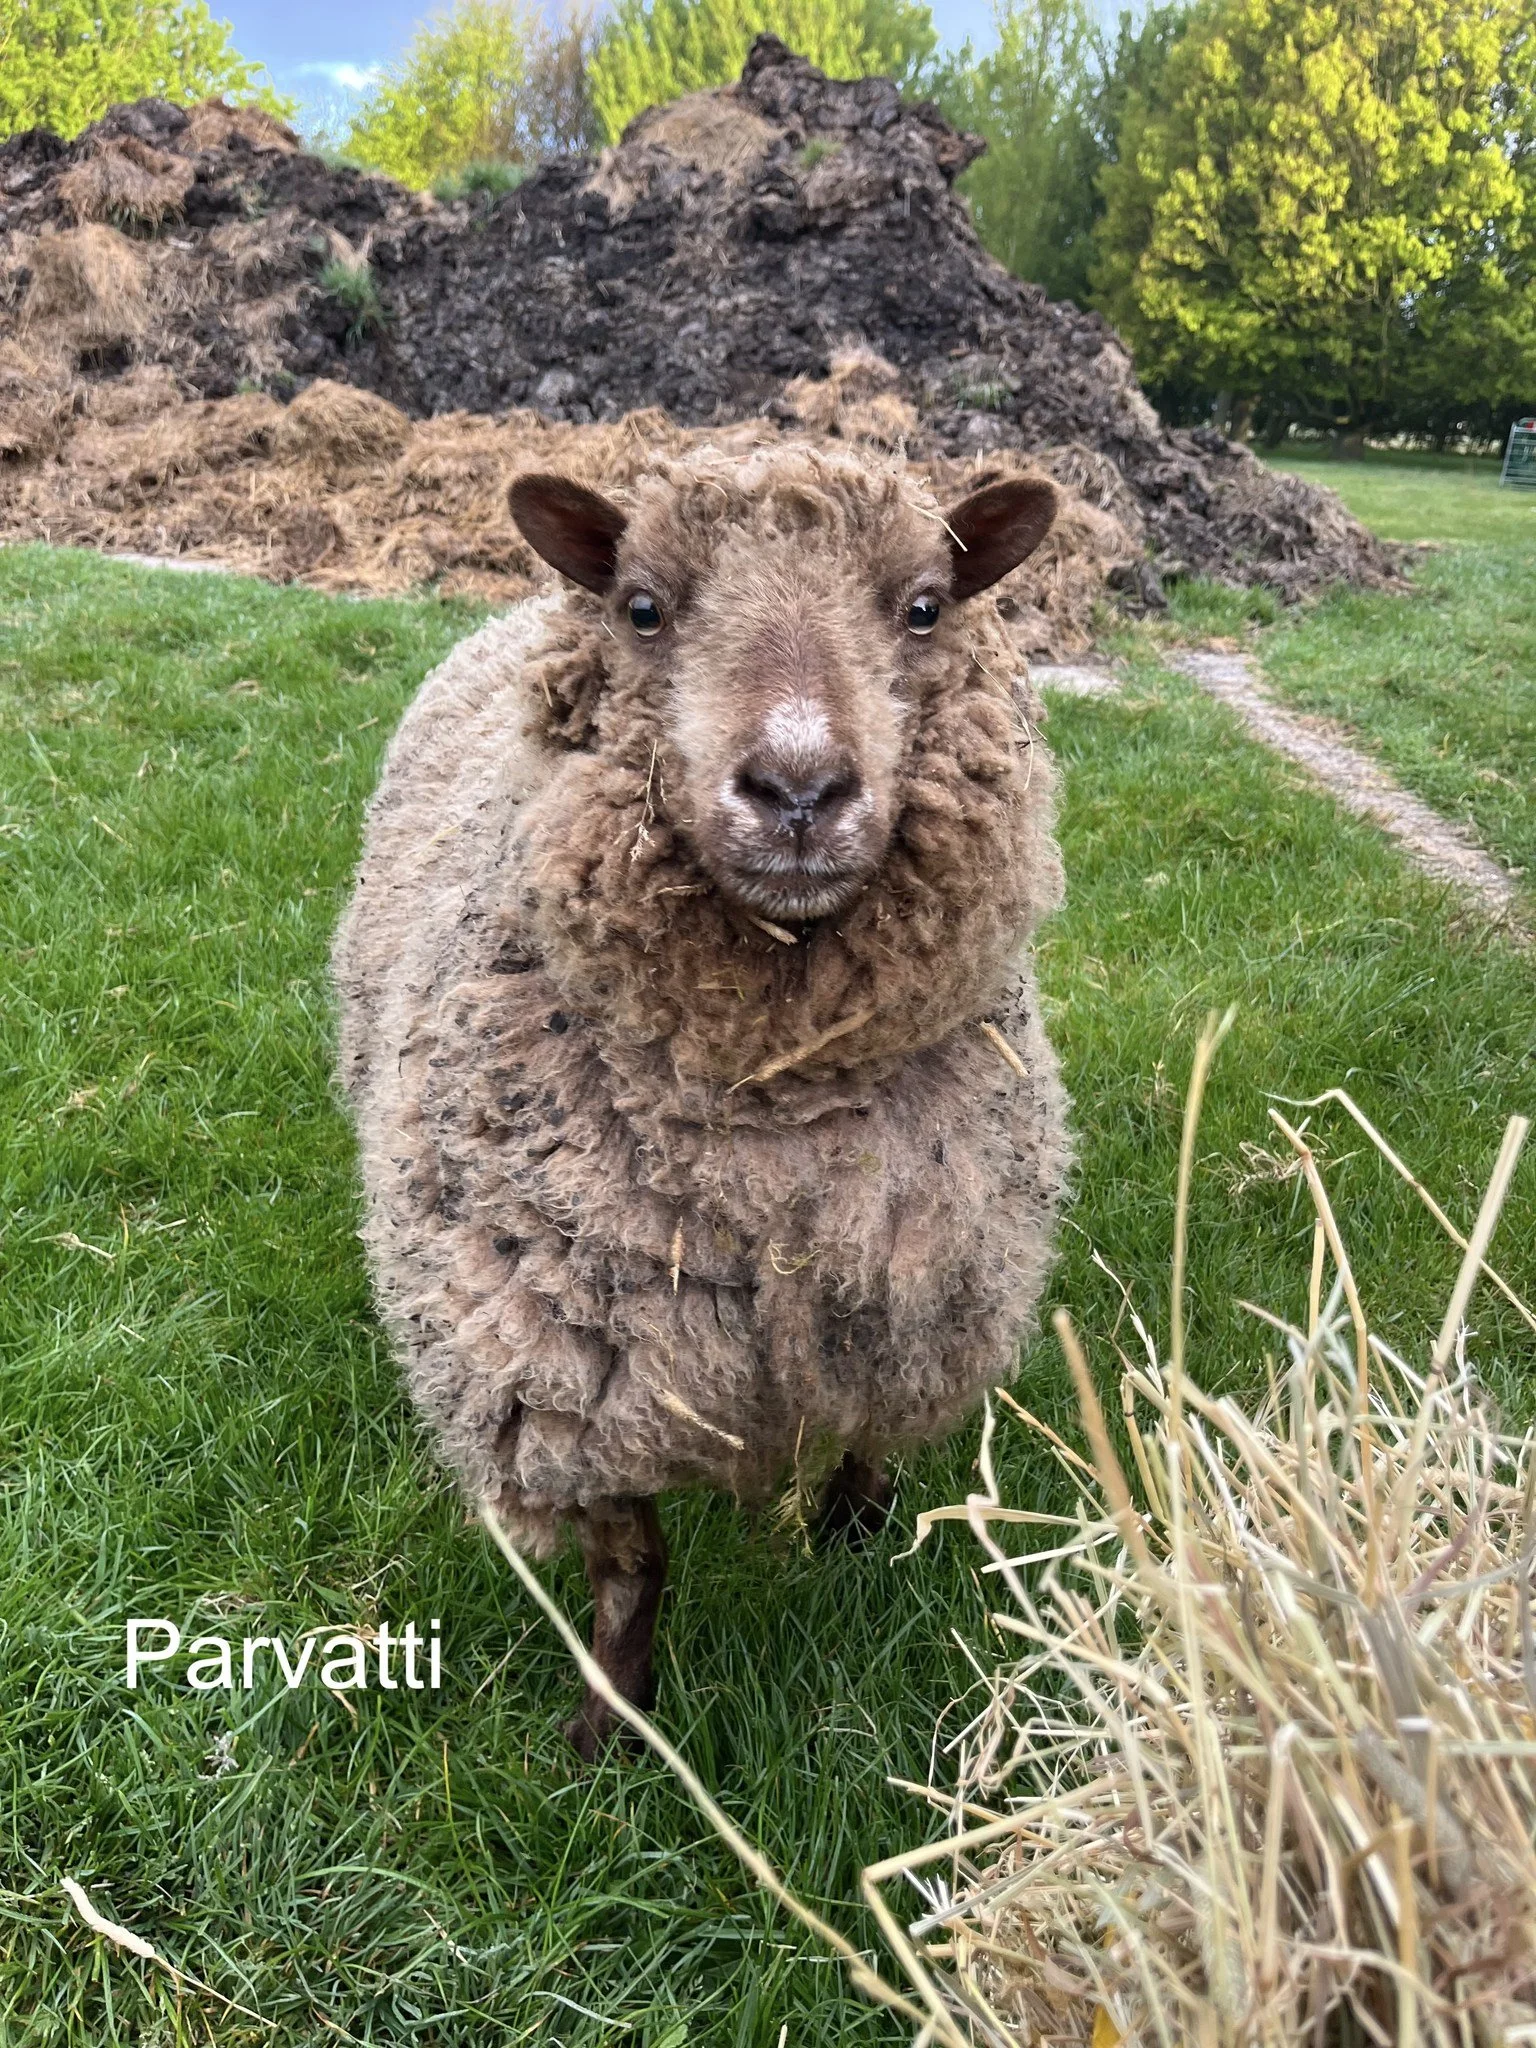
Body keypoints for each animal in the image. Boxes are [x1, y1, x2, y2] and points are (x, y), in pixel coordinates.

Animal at [333, 444, 1072, 1756]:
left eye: (925, 605)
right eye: (643, 607)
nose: (799, 788)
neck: (774, 1106)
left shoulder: (907, 1294)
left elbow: (871, 1439)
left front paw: (852, 1534)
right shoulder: (566, 1371)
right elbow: (631, 1564)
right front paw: (610, 1729)